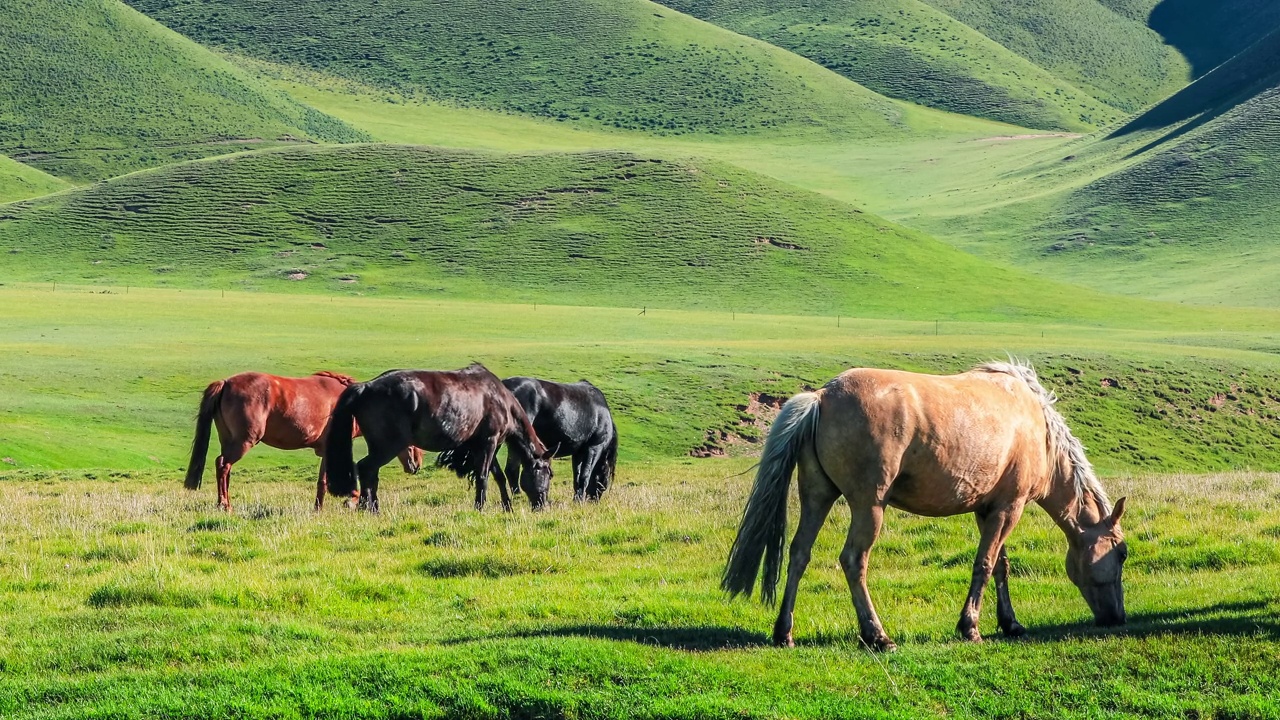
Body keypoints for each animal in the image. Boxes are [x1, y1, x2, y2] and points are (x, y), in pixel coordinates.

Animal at [185, 368, 424, 509]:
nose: (417, 464)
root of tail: (225, 383)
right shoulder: (330, 449)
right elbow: (330, 480)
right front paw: (348, 500)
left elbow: (321, 481)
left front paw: (318, 507)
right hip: (243, 442)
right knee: (223, 465)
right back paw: (224, 505)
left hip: (229, 440)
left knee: (224, 469)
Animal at [325, 363, 550, 509]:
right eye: (548, 473)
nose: (543, 504)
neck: (499, 397)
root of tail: (365, 387)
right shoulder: (489, 442)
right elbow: (483, 476)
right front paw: (479, 507)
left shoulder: (482, 445)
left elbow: (498, 476)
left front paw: (507, 507)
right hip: (388, 446)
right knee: (366, 468)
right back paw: (370, 508)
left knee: (371, 473)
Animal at [496, 376, 616, 504]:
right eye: (605, 479)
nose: (594, 501)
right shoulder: (594, 448)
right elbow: (585, 475)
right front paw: (579, 501)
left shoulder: (578, 453)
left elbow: (577, 477)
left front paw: (576, 500)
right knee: (511, 470)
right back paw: (518, 498)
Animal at [721, 361, 1131, 648]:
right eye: (1122, 553)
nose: (1118, 618)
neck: (1037, 428)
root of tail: (821, 396)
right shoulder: (1009, 508)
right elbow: (984, 565)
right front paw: (970, 627)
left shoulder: (989, 509)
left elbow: (1000, 566)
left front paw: (1010, 623)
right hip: (869, 507)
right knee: (854, 561)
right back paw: (877, 635)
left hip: (817, 496)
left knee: (799, 554)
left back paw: (784, 632)